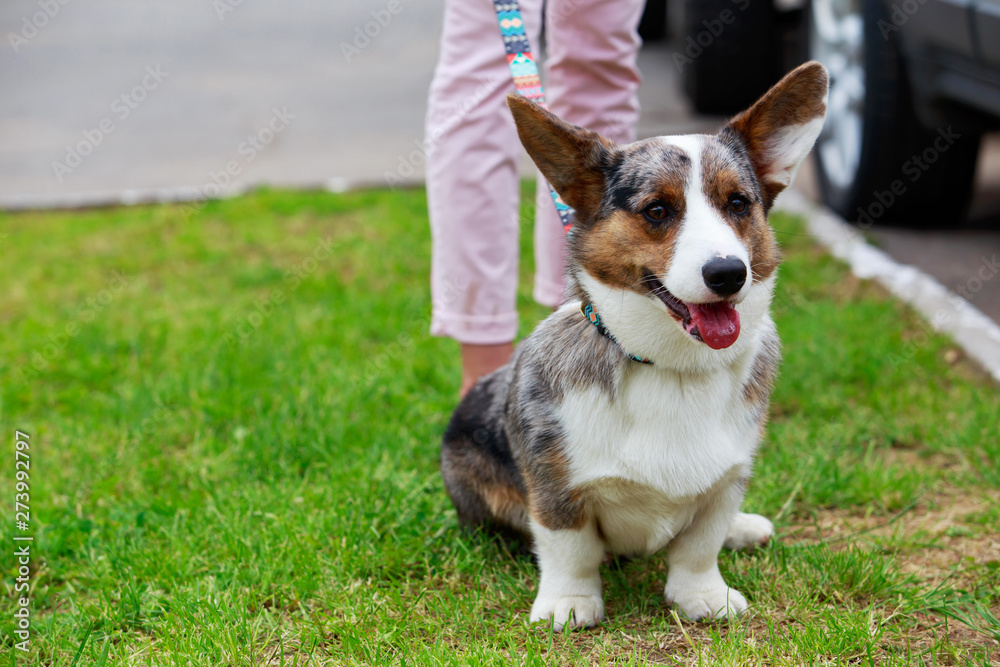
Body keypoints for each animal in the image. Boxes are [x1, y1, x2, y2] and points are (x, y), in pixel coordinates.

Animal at [444, 60, 828, 628]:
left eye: (738, 203)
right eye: (657, 210)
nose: (728, 274)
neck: (672, 367)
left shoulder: (727, 479)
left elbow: (700, 546)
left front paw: (704, 597)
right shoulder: (556, 485)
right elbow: (570, 548)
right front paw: (569, 604)